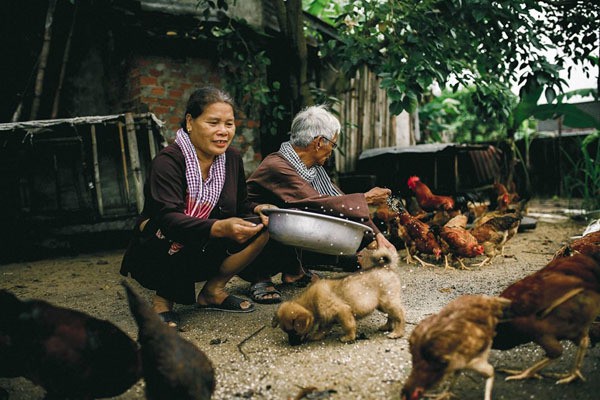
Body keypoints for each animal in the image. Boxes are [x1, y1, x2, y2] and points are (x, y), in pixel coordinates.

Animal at [270, 247, 404, 344]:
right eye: (287, 332)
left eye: (294, 331)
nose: (292, 344)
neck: (312, 302)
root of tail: (386, 267)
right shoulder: (327, 317)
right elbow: (322, 328)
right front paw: (317, 336)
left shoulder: (343, 311)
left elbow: (348, 326)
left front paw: (348, 338)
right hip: (382, 304)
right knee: (391, 316)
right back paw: (387, 327)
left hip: (387, 302)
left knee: (400, 315)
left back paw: (397, 333)